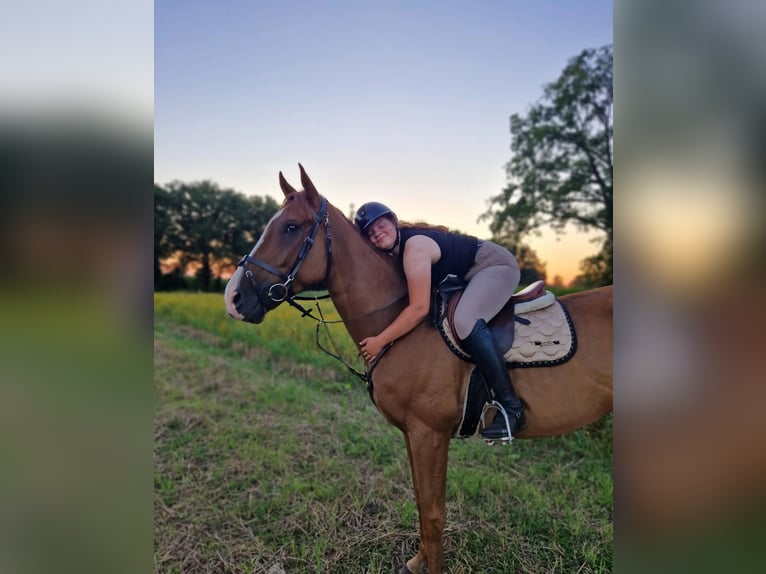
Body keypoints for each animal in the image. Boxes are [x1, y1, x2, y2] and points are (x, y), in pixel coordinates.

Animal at [225, 164, 616, 572]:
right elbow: (419, 501)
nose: (233, 298)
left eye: (290, 226)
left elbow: (432, 512)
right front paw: (417, 562)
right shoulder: (413, 434)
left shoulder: (429, 433)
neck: (399, 322)